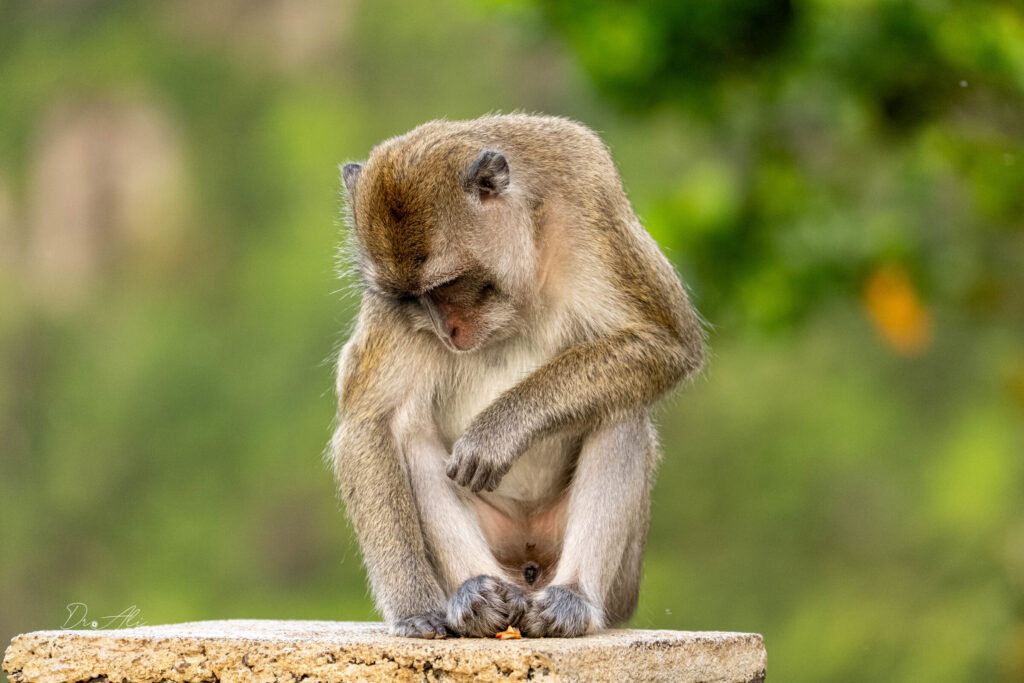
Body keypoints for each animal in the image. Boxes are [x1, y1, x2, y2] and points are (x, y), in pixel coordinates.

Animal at [329, 114, 704, 639]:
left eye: (449, 285)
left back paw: (571, 599)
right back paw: (476, 596)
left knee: (621, 409)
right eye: (408, 299)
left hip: (618, 579)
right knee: (409, 430)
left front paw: (498, 430)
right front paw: (413, 606)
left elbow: (664, 340)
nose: (448, 331)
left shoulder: (589, 195)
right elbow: (369, 423)